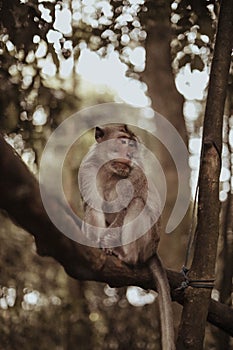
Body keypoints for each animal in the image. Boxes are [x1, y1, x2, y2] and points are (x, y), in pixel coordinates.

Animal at [78, 124, 175, 348]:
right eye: (123, 141)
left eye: (133, 144)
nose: (130, 153)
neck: (110, 170)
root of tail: (153, 251)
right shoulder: (87, 169)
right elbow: (91, 205)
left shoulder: (135, 173)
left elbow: (127, 205)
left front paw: (107, 245)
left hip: (147, 242)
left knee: (137, 203)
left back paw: (125, 256)